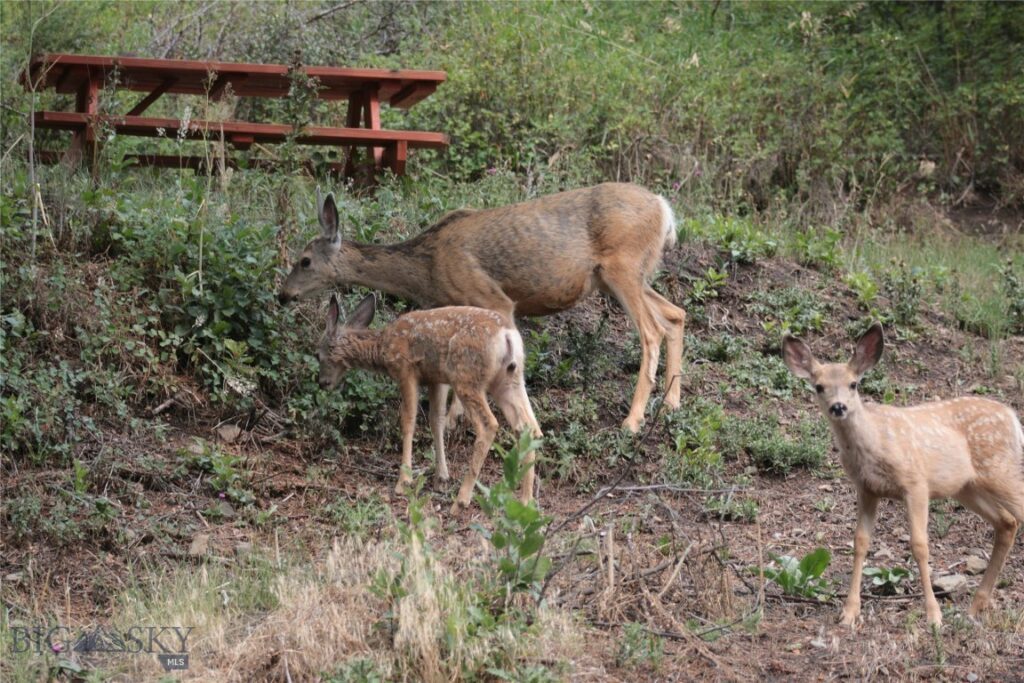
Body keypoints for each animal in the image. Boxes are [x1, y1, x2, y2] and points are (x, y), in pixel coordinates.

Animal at [278, 184, 688, 432]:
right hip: (625, 276)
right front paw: (452, 419)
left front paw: (462, 420)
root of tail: (665, 209)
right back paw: (671, 404)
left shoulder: (495, 300)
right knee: (675, 315)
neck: (425, 267)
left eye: (304, 261)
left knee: (652, 331)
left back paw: (632, 420)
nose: (282, 295)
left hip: (622, 267)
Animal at [317, 290, 544, 509]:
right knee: (529, 427)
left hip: (467, 376)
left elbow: (408, 420)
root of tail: (507, 336)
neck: (383, 346)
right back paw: (526, 500)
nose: (322, 383)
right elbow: (436, 421)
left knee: (489, 425)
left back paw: (462, 500)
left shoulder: (406, 369)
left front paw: (403, 481)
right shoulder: (437, 379)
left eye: (319, 354)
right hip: (509, 380)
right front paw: (441, 477)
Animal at [782, 323, 1024, 626]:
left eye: (853, 384)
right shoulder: (867, 488)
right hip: (968, 487)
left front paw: (934, 615)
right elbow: (860, 542)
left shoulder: (916, 482)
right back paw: (975, 606)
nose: (838, 407)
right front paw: (849, 612)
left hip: (1000, 470)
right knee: (1007, 523)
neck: (874, 442)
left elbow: (919, 545)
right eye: (819, 386)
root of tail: (1013, 418)